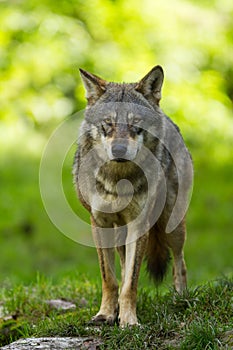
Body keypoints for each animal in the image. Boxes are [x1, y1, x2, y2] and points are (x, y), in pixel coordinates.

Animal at [73, 65, 193, 326]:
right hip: (121, 231)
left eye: (135, 124)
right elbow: (110, 278)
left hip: (171, 225)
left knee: (180, 261)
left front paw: (129, 321)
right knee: (123, 263)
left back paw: (181, 298)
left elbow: (131, 281)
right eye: (108, 124)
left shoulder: (140, 224)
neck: (118, 180)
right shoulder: (99, 223)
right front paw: (106, 314)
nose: (119, 150)